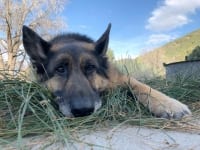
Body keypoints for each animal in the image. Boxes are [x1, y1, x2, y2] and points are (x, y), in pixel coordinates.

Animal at [22, 23, 191, 118]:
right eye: (60, 69)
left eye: (90, 67)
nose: (83, 110)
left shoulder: (120, 77)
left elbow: (142, 86)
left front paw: (168, 103)